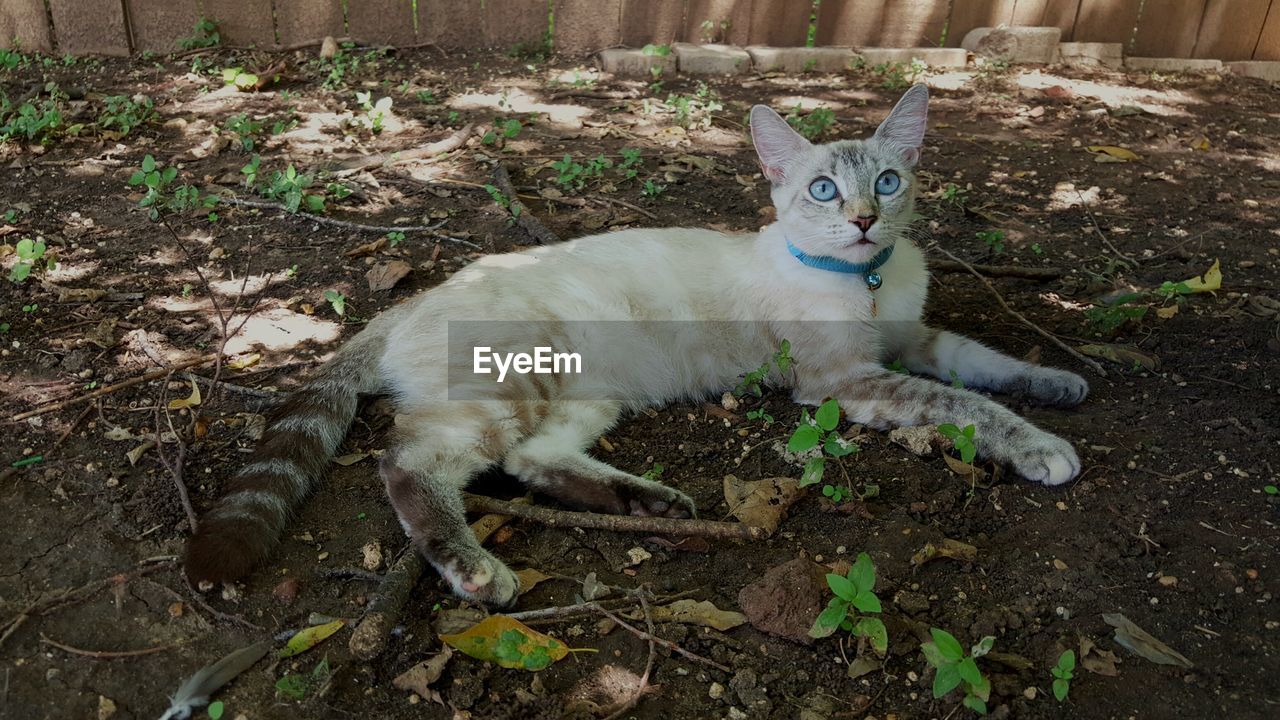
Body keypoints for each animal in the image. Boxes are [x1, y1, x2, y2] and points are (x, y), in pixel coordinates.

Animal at [185, 87, 1085, 607]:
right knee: (412, 466)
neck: (867, 281)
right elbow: (965, 404)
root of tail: (412, 301)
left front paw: (1060, 387)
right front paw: (1046, 450)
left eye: (888, 183)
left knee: (533, 462)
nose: (864, 220)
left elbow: (985, 365)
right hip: (512, 386)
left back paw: (650, 504)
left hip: (589, 396)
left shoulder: (912, 337)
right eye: (825, 190)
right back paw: (478, 573)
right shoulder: (847, 380)